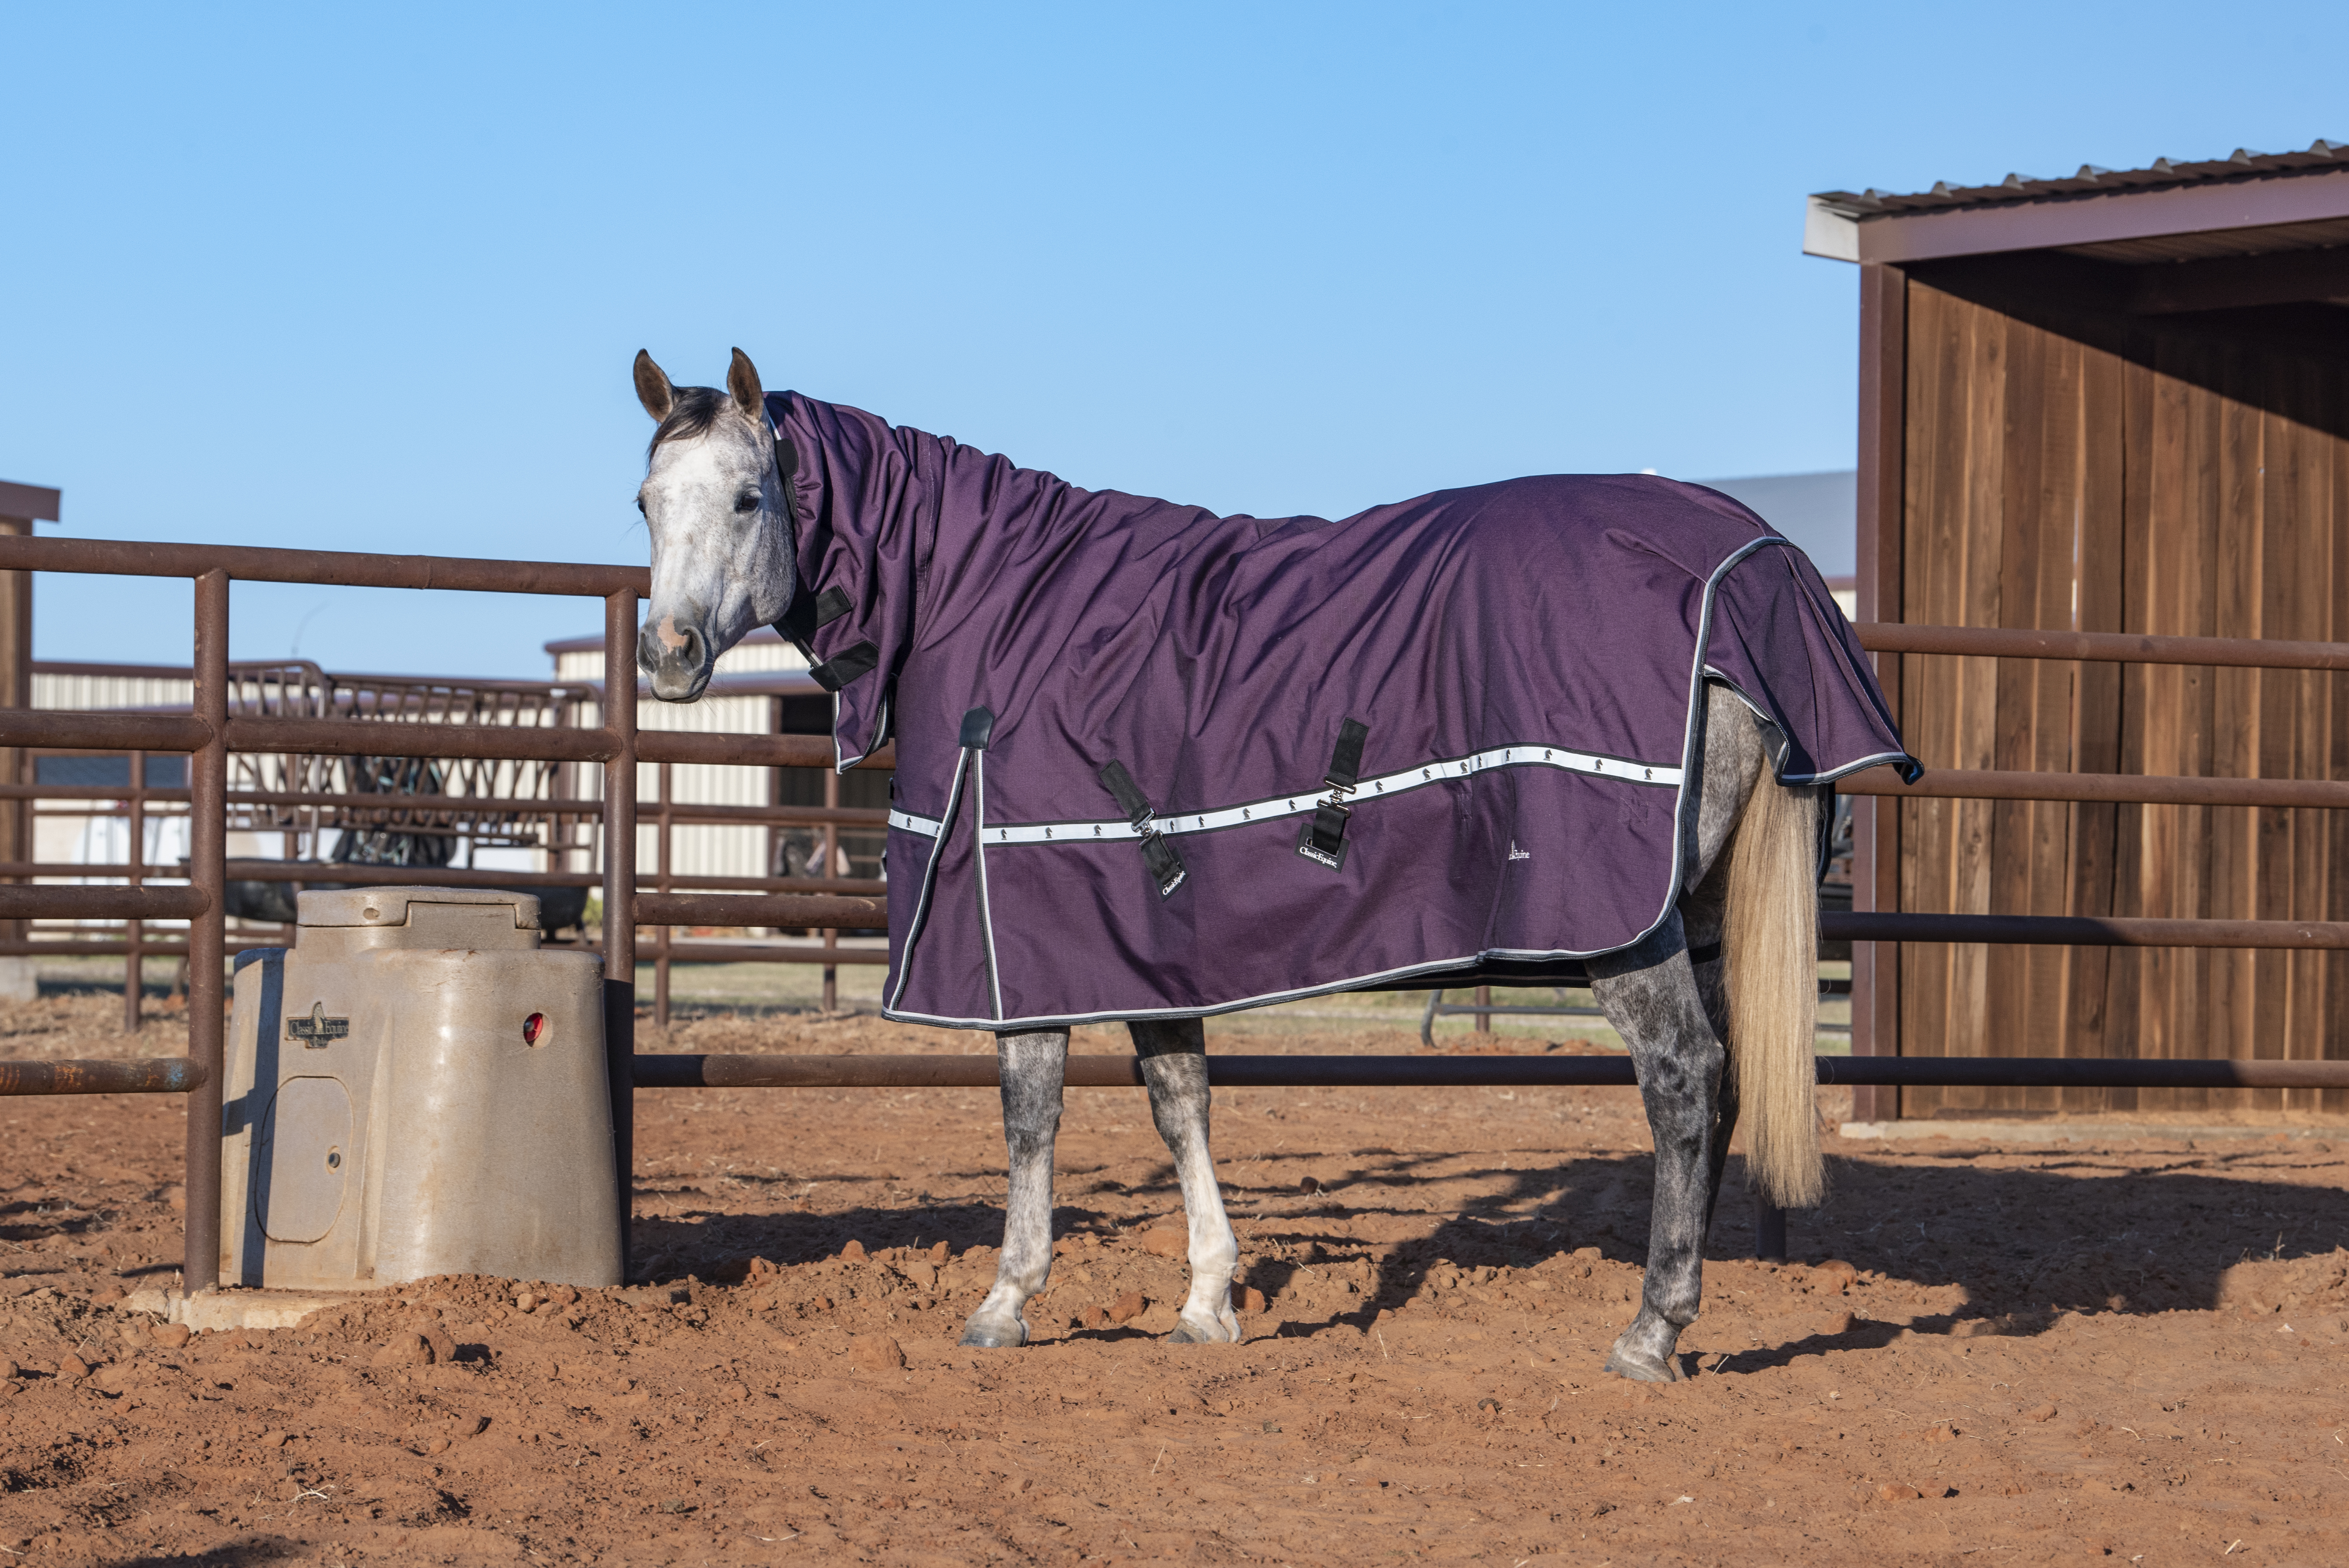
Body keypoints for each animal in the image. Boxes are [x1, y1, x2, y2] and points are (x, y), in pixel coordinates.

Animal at [626, 347, 1883, 1383]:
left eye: (748, 497)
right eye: (644, 501)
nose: (670, 656)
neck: (994, 603)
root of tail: (1757, 566)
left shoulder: (1020, 929)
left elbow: (1031, 1116)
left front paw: (1005, 1304)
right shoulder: (1141, 939)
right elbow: (1180, 1102)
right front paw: (1207, 1303)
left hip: (1626, 928)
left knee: (1681, 1078)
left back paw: (1648, 1332)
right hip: (1702, 912)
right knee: (1722, 1087)